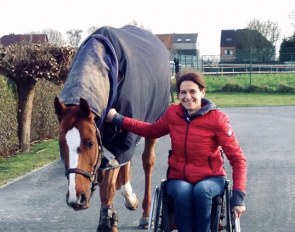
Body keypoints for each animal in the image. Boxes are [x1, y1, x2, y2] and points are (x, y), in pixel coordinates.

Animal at [54, 25, 170, 232]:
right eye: (61, 144)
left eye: (90, 143)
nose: (76, 198)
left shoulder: (119, 142)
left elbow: (107, 190)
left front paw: (110, 219)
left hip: (152, 126)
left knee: (147, 162)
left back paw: (144, 212)